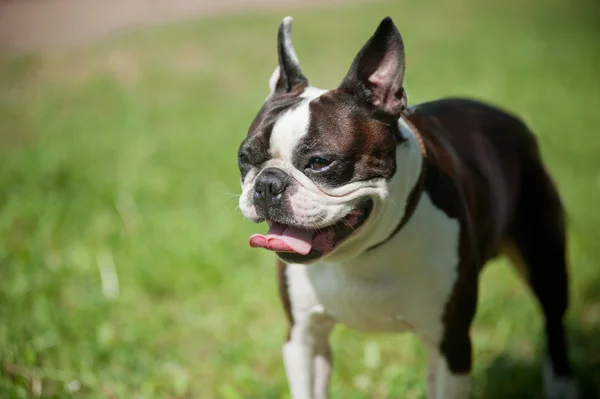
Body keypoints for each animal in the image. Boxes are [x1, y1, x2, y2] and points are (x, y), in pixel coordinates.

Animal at [237, 16, 580, 399]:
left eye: (320, 163)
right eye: (244, 158)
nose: (267, 184)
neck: (363, 255)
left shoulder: (452, 343)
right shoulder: (303, 339)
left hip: (544, 259)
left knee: (553, 319)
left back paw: (562, 384)